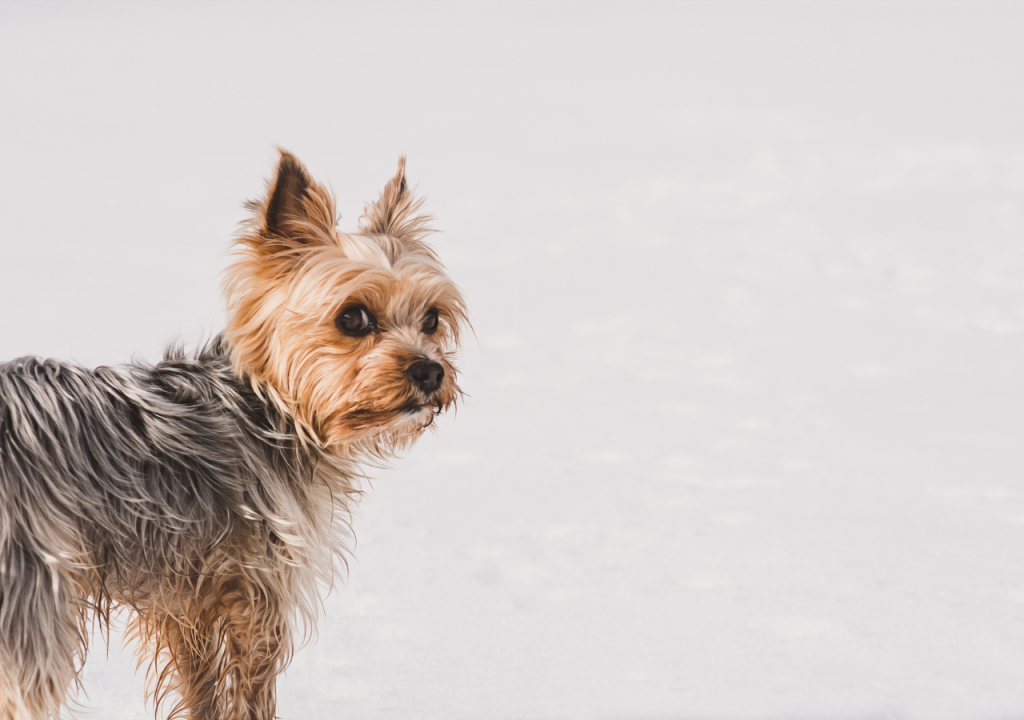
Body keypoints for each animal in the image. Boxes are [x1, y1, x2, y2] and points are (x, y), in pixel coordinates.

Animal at [0, 149, 468, 716]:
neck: (270, 408)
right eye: (353, 318)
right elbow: (251, 693)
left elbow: (200, 686)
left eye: (432, 319)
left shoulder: (187, 601)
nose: (430, 371)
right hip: (33, 594)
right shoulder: (259, 591)